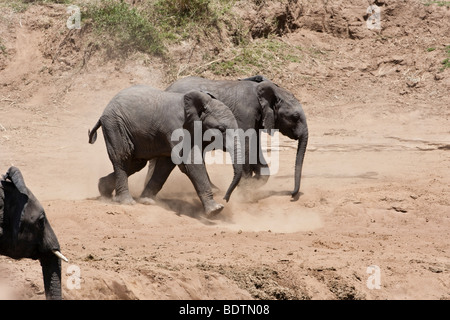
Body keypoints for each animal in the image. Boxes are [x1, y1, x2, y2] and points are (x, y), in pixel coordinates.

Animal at [88, 84, 243, 216]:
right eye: (221, 129)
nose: (225, 198)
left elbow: (166, 165)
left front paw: (147, 201)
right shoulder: (176, 128)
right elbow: (191, 163)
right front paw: (215, 210)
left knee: (136, 163)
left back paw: (103, 189)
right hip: (114, 125)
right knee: (123, 157)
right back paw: (126, 202)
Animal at [165, 76, 310, 199]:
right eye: (295, 117)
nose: (292, 195)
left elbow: (254, 148)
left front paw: (251, 184)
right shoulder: (245, 115)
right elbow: (245, 146)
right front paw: (246, 190)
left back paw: (216, 190)